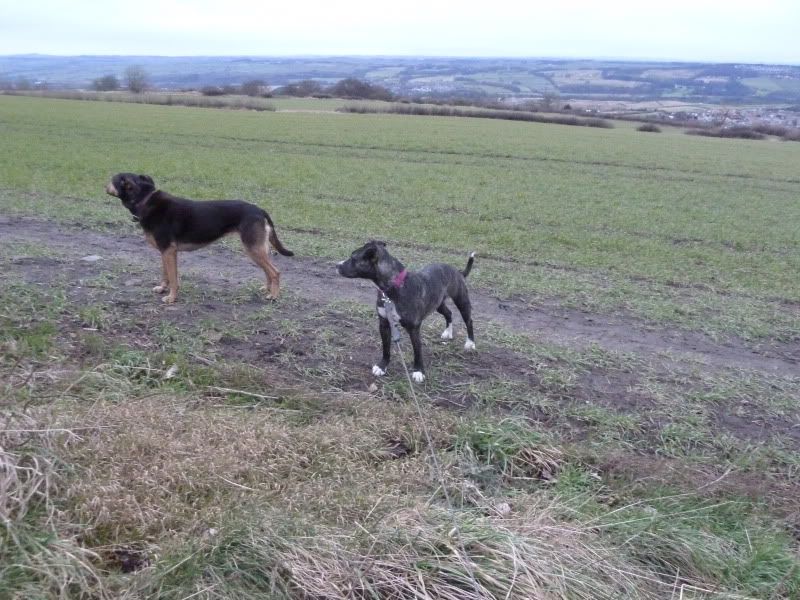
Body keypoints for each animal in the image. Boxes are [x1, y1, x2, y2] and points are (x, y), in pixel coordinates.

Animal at [104, 173, 294, 304]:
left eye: (113, 179)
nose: (103, 185)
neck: (145, 199)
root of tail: (259, 210)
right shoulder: (165, 252)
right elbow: (165, 274)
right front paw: (162, 288)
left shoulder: (169, 251)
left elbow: (173, 278)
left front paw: (171, 298)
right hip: (259, 248)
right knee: (268, 271)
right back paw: (267, 289)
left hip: (252, 248)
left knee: (275, 272)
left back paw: (273, 295)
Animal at [338, 240, 476, 384]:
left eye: (353, 258)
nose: (337, 265)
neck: (392, 288)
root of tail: (457, 271)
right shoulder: (384, 324)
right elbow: (386, 348)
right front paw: (382, 366)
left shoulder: (414, 329)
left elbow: (417, 351)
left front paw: (419, 371)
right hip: (438, 304)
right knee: (448, 313)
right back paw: (448, 332)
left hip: (462, 301)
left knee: (469, 321)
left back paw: (470, 343)